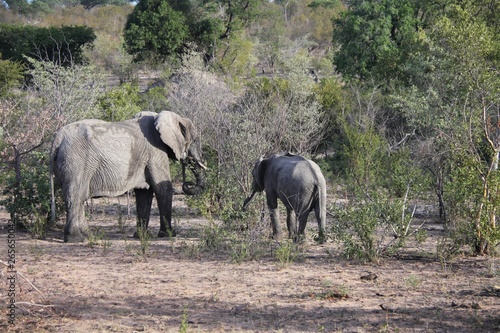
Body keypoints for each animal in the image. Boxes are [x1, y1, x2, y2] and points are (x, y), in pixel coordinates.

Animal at [49, 110, 206, 243]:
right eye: (195, 140)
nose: (188, 183)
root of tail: (58, 138)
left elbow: (144, 193)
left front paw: (142, 236)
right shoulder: (156, 152)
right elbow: (163, 189)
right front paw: (168, 235)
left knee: (79, 197)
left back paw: (88, 236)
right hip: (76, 161)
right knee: (75, 196)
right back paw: (76, 239)